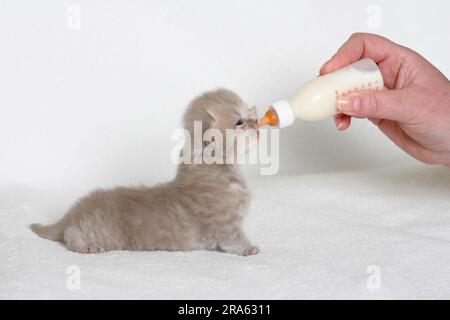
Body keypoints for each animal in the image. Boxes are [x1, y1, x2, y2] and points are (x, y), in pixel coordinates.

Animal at [30, 89, 260, 256]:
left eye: (250, 116)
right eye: (240, 122)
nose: (257, 123)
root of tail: (75, 210)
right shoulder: (225, 225)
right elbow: (234, 239)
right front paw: (250, 248)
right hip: (101, 233)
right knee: (70, 234)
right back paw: (86, 247)